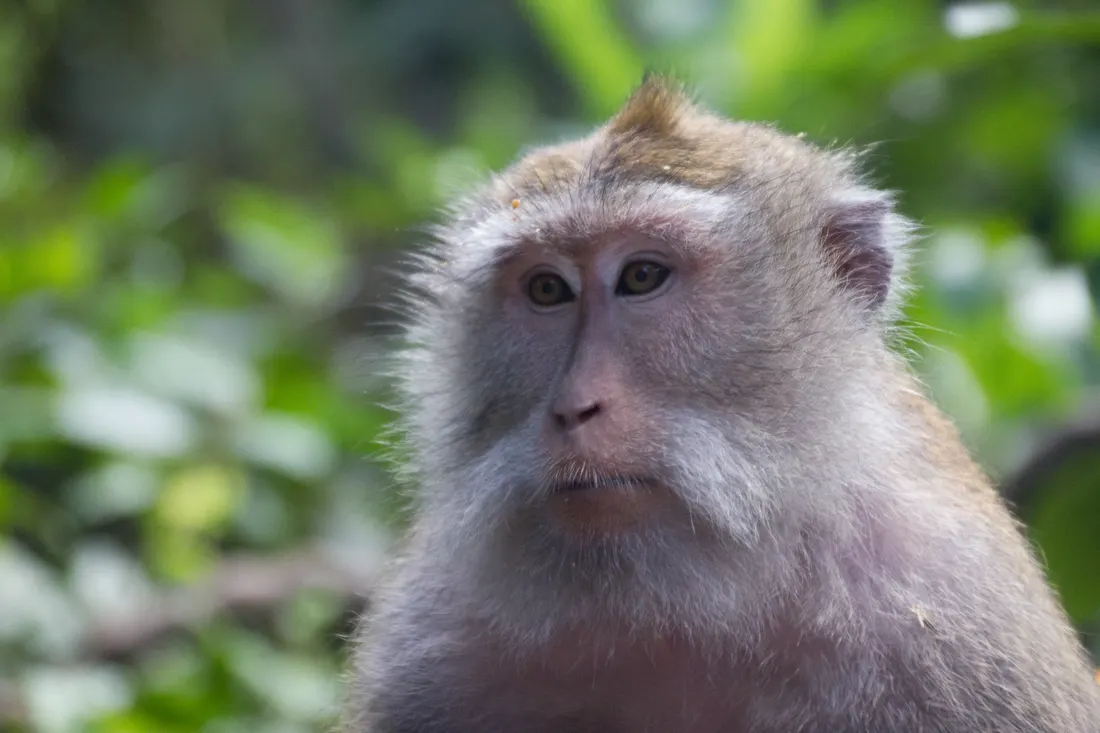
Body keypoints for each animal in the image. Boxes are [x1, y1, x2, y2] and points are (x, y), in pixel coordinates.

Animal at [342, 77, 1100, 732]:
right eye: (548, 289)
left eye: (642, 276)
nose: (574, 407)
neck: (686, 604)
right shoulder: (429, 645)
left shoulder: (958, 622)